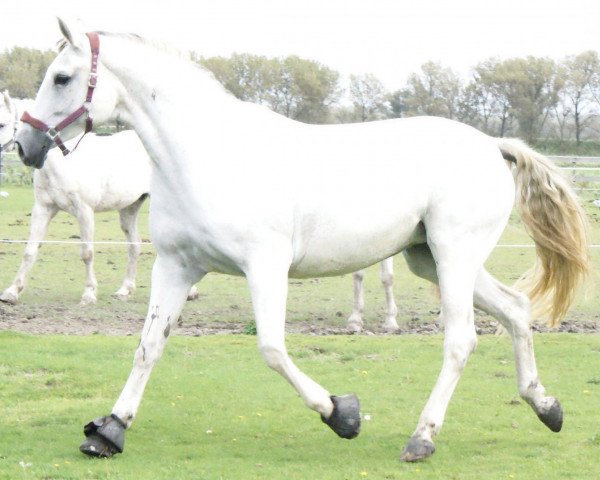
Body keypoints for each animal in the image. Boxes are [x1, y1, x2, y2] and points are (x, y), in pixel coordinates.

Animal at [0, 91, 152, 304]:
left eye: (2, 124)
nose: (24, 150)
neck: (65, 161)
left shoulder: (84, 211)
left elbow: (87, 253)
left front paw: (89, 293)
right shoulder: (42, 209)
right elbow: (30, 251)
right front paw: (12, 291)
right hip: (129, 209)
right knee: (134, 245)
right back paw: (124, 290)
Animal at [16, 20, 588, 464]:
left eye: (61, 77)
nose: (25, 144)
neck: (207, 155)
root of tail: (492, 145)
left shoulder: (265, 267)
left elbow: (271, 349)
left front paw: (342, 414)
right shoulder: (177, 267)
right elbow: (148, 346)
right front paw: (109, 431)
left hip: (453, 257)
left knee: (461, 340)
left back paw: (422, 438)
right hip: (431, 259)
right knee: (516, 310)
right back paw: (547, 406)